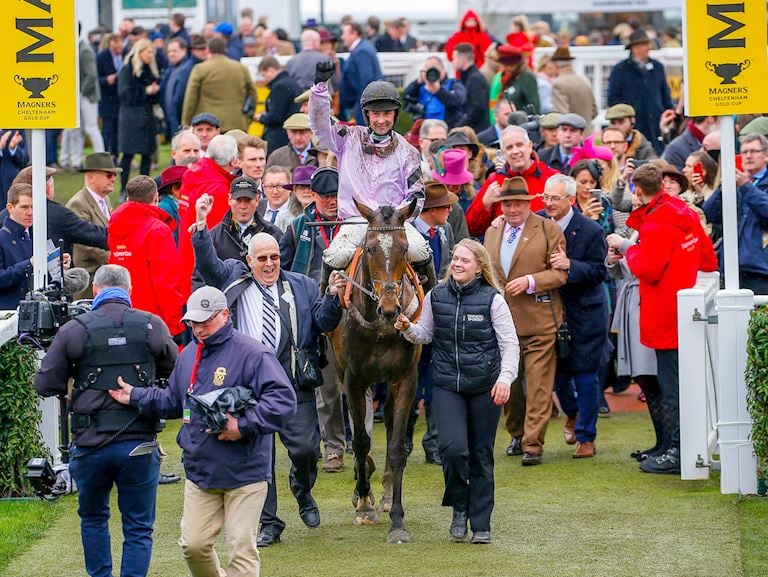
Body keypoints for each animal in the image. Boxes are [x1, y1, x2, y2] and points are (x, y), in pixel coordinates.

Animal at [330, 196, 424, 544]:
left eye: (404, 247)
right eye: (370, 249)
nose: (389, 309)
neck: (380, 330)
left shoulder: (405, 379)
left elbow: (396, 447)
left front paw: (397, 520)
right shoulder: (354, 379)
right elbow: (360, 441)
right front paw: (363, 504)